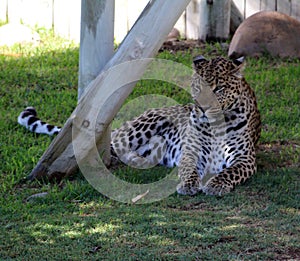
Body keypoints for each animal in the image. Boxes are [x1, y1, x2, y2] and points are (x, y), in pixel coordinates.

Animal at [17, 55, 260, 196]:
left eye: (219, 89)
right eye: (197, 87)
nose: (200, 108)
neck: (217, 123)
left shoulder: (245, 159)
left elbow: (229, 172)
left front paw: (216, 184)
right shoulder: (191, 153)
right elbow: (189, 169)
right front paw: (189, 185)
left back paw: (140, 161)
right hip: (146, 124)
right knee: (113, 145)